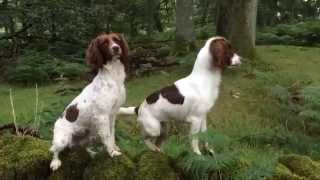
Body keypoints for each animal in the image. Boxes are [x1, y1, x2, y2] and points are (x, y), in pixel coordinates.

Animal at [49, 33, 129, 171]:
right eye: (104, 43)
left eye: (117, 39)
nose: (116, 48)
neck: (114, 78)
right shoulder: (102, 116)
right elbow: (107, 137)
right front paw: (112, 153)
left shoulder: (112, 115)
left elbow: (112, 135)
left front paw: (114, 148)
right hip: (62, 139)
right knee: (55, 150)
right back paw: (55, 162)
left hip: (91, 135)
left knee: (81, 148)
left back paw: (91, 153)